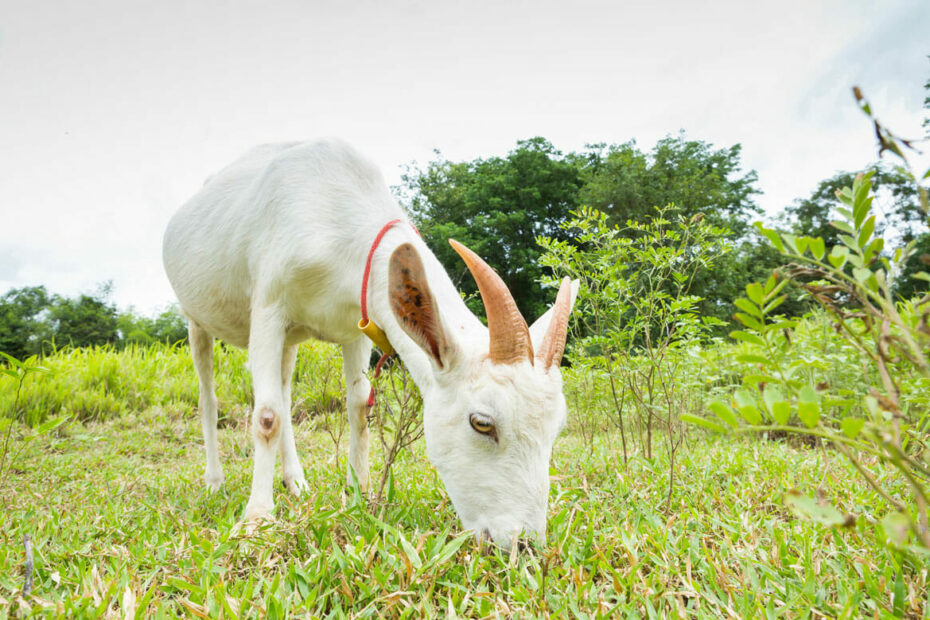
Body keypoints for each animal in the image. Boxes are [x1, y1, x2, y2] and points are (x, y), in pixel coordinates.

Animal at [163, 140, 576, 548]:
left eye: (556, 429)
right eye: (482, 423)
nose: (523, 543)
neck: (334, 213)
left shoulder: (355, 323)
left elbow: (359, 406)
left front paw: (358, 498)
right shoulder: (268, 308)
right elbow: (267, 417)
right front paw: (256, 520)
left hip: (290, 339)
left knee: (282, 388)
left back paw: (295, 481)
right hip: (196, 318)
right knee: (210, 397)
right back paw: (214, 482)